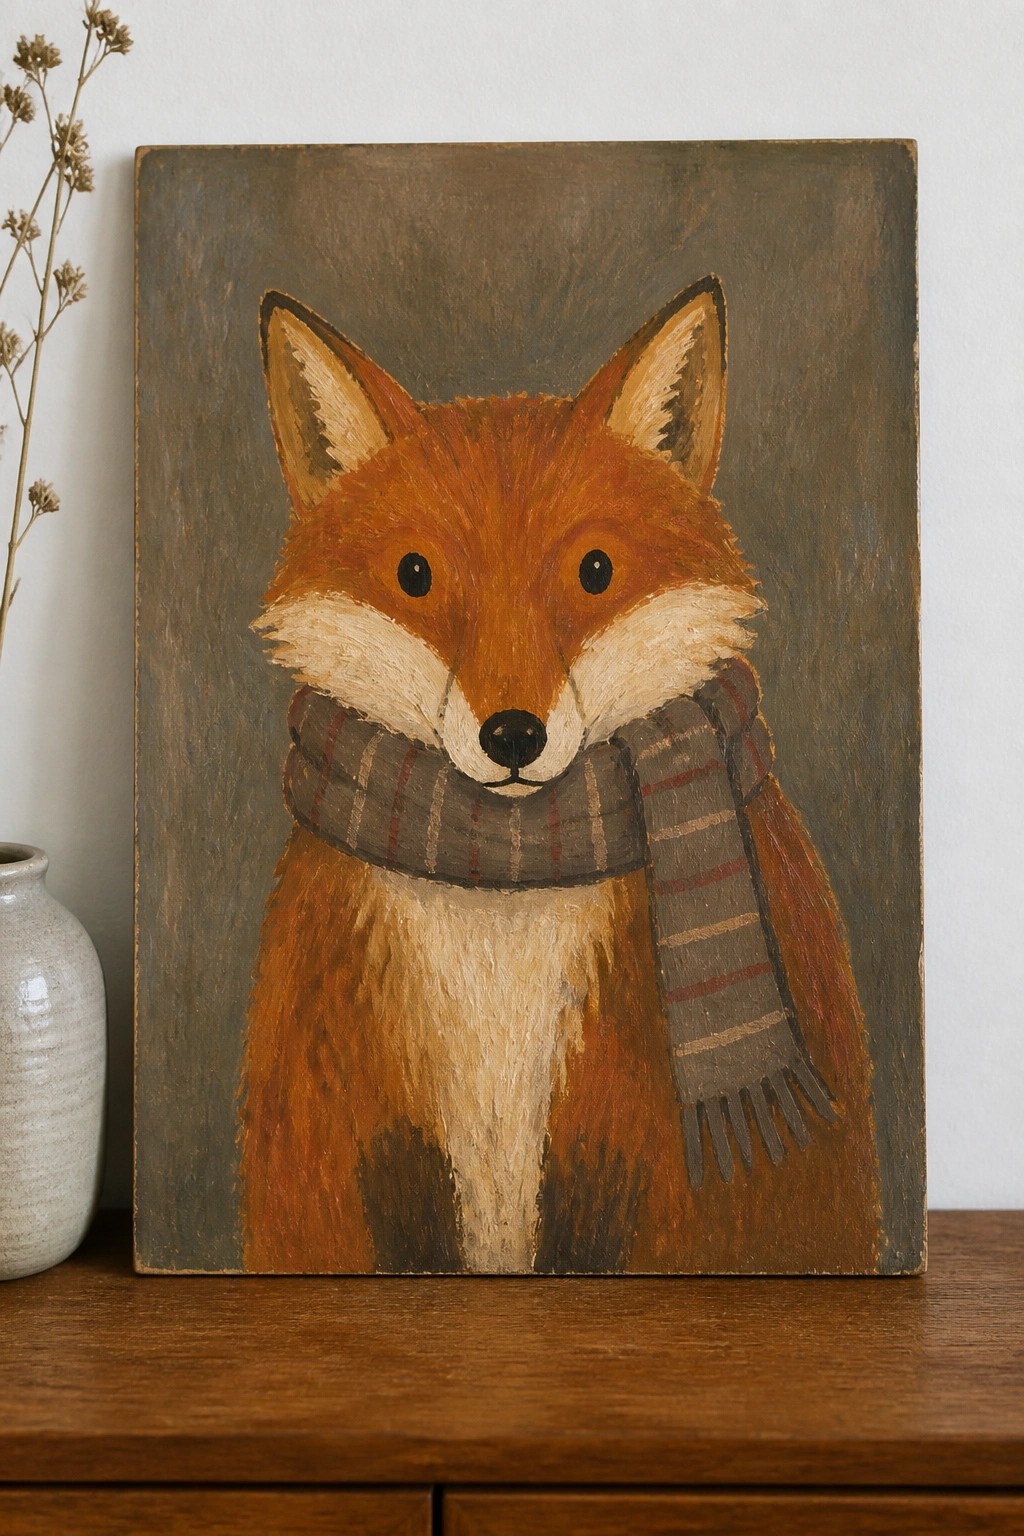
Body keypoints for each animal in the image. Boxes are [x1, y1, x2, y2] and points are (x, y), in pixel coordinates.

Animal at [239, 276, 882, 1274]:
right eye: (415, 574)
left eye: (595, 570)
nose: (513, 735)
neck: (508, 885)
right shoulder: (327, 1164)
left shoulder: (680, 1193)